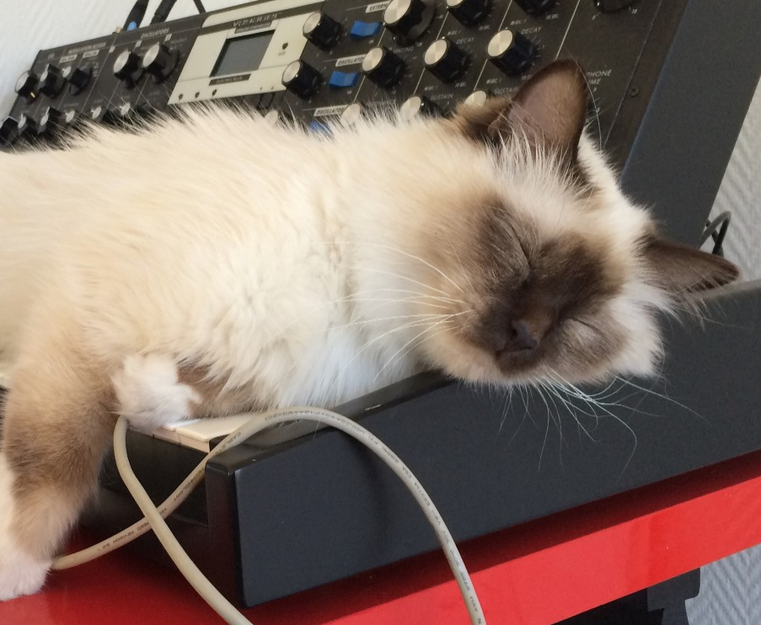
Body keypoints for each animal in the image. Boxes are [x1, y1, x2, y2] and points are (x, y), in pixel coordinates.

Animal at [0, 60, 738, 600]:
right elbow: (51, 462)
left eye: (580, 321)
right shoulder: (80, 325)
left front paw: (148, 394)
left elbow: (174, 403)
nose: (523, 337)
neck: (356, 311)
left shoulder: (269, 381)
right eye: (523, 256)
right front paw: (19, 570)